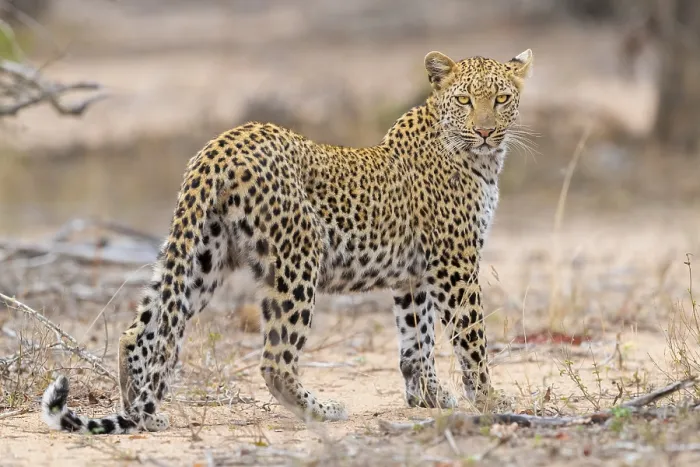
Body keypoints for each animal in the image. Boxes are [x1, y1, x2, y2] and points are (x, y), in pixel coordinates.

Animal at [41, 48, 533, 434]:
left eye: (502, 99)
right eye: (465, 100)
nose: (485, 130)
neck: (481, 159)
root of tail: (219, 146)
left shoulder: (413, 275)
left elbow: (417, 340)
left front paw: (429, 398)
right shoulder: (455, 265)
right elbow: (471, 338)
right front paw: (489, 401)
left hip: (203, 257)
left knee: (139, 331)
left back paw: (142, 414)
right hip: (298, 255)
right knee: (275, 359)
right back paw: (323, 410)